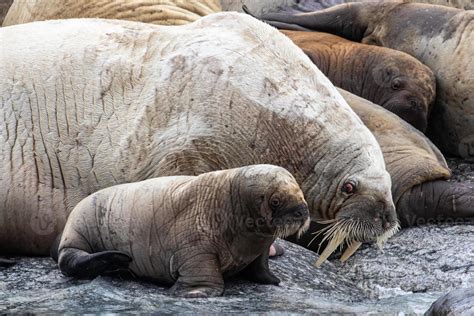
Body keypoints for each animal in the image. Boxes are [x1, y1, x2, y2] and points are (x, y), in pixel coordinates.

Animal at [57, 164, 310, 298]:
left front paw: (273, 280)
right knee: (71, 260)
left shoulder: (261, 247)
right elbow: (204, 274)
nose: (302, 211)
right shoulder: (196, 245)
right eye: (275, 201)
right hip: (75, 232)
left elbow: (261, 267)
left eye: (301, 192)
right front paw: (194, 291)